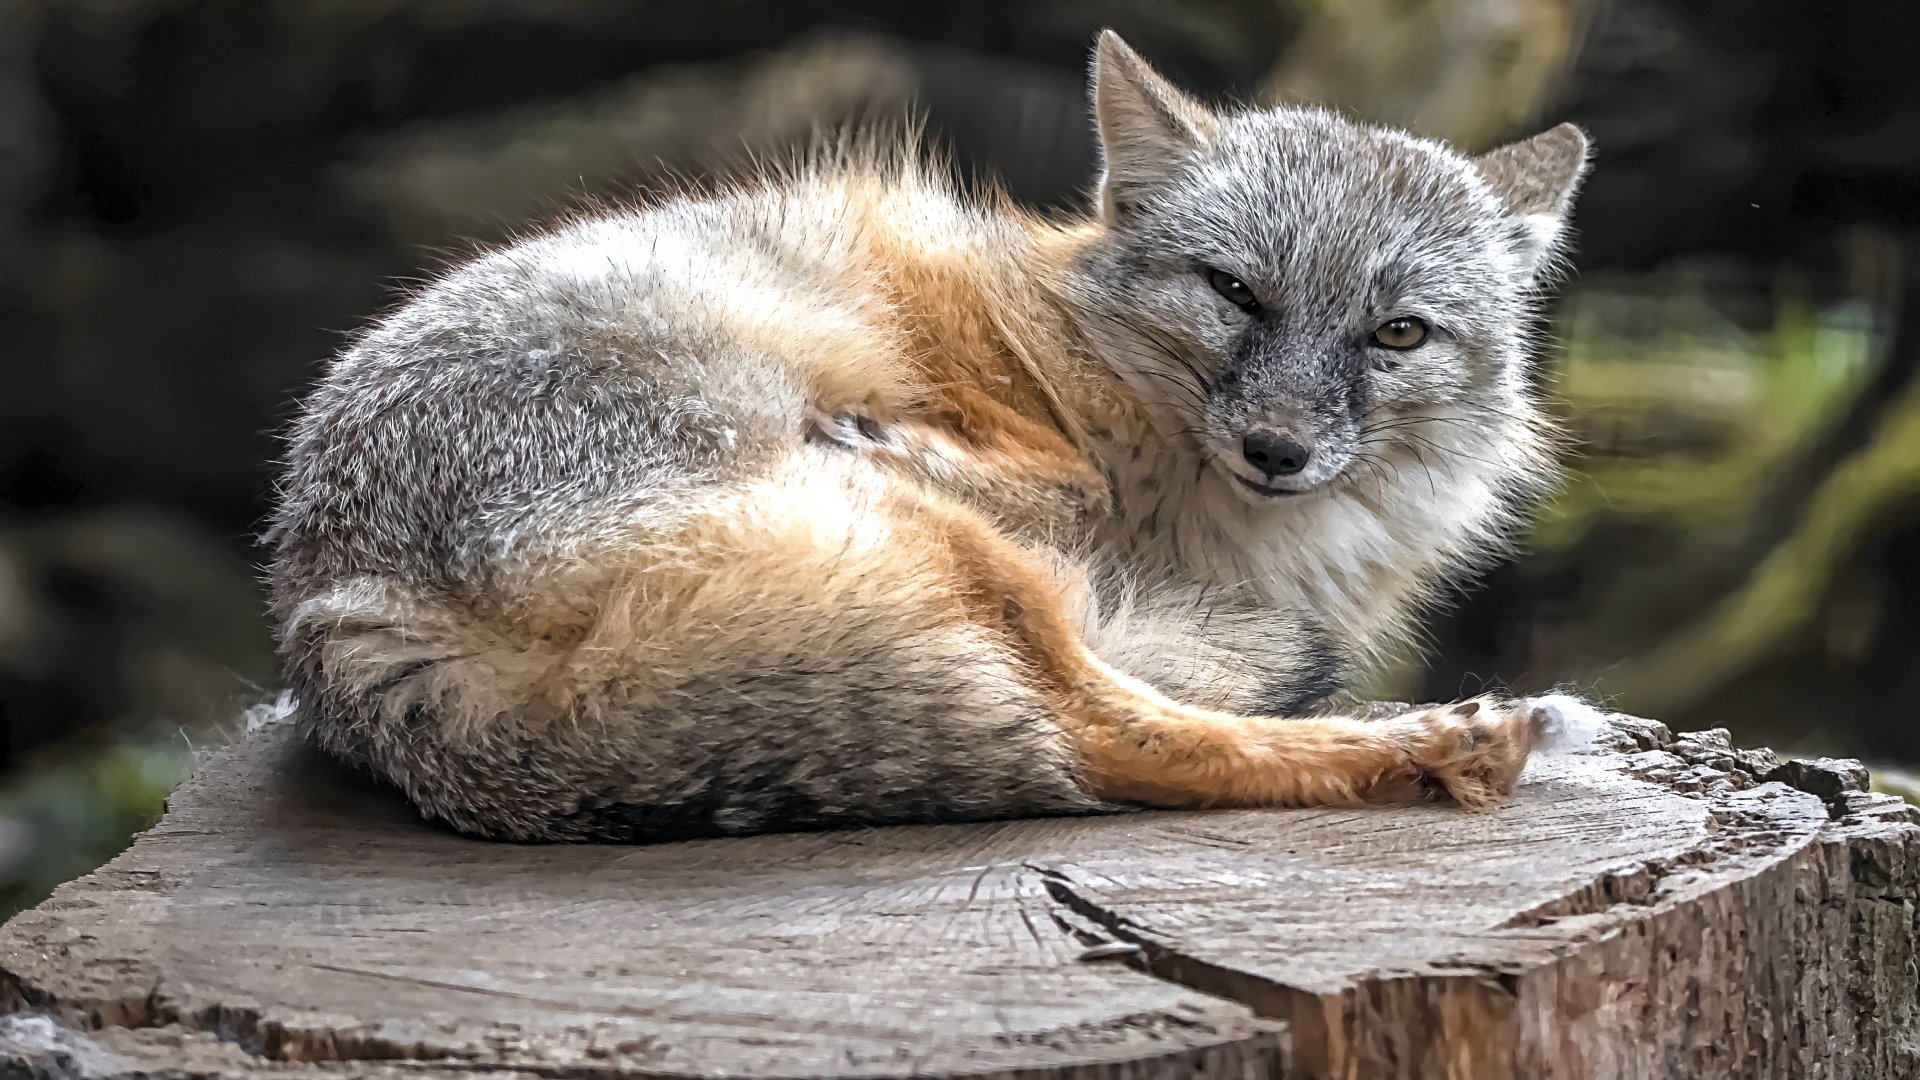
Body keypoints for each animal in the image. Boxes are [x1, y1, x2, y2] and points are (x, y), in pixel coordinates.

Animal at [266, 31, 1603, 843]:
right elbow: (1060, 481)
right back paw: (1439, 745)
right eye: (1234, 293)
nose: (1277, 449)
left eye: (1397, 333)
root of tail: (340, 616)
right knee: (1098, 740)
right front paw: (926, 434)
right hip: (952, 554)